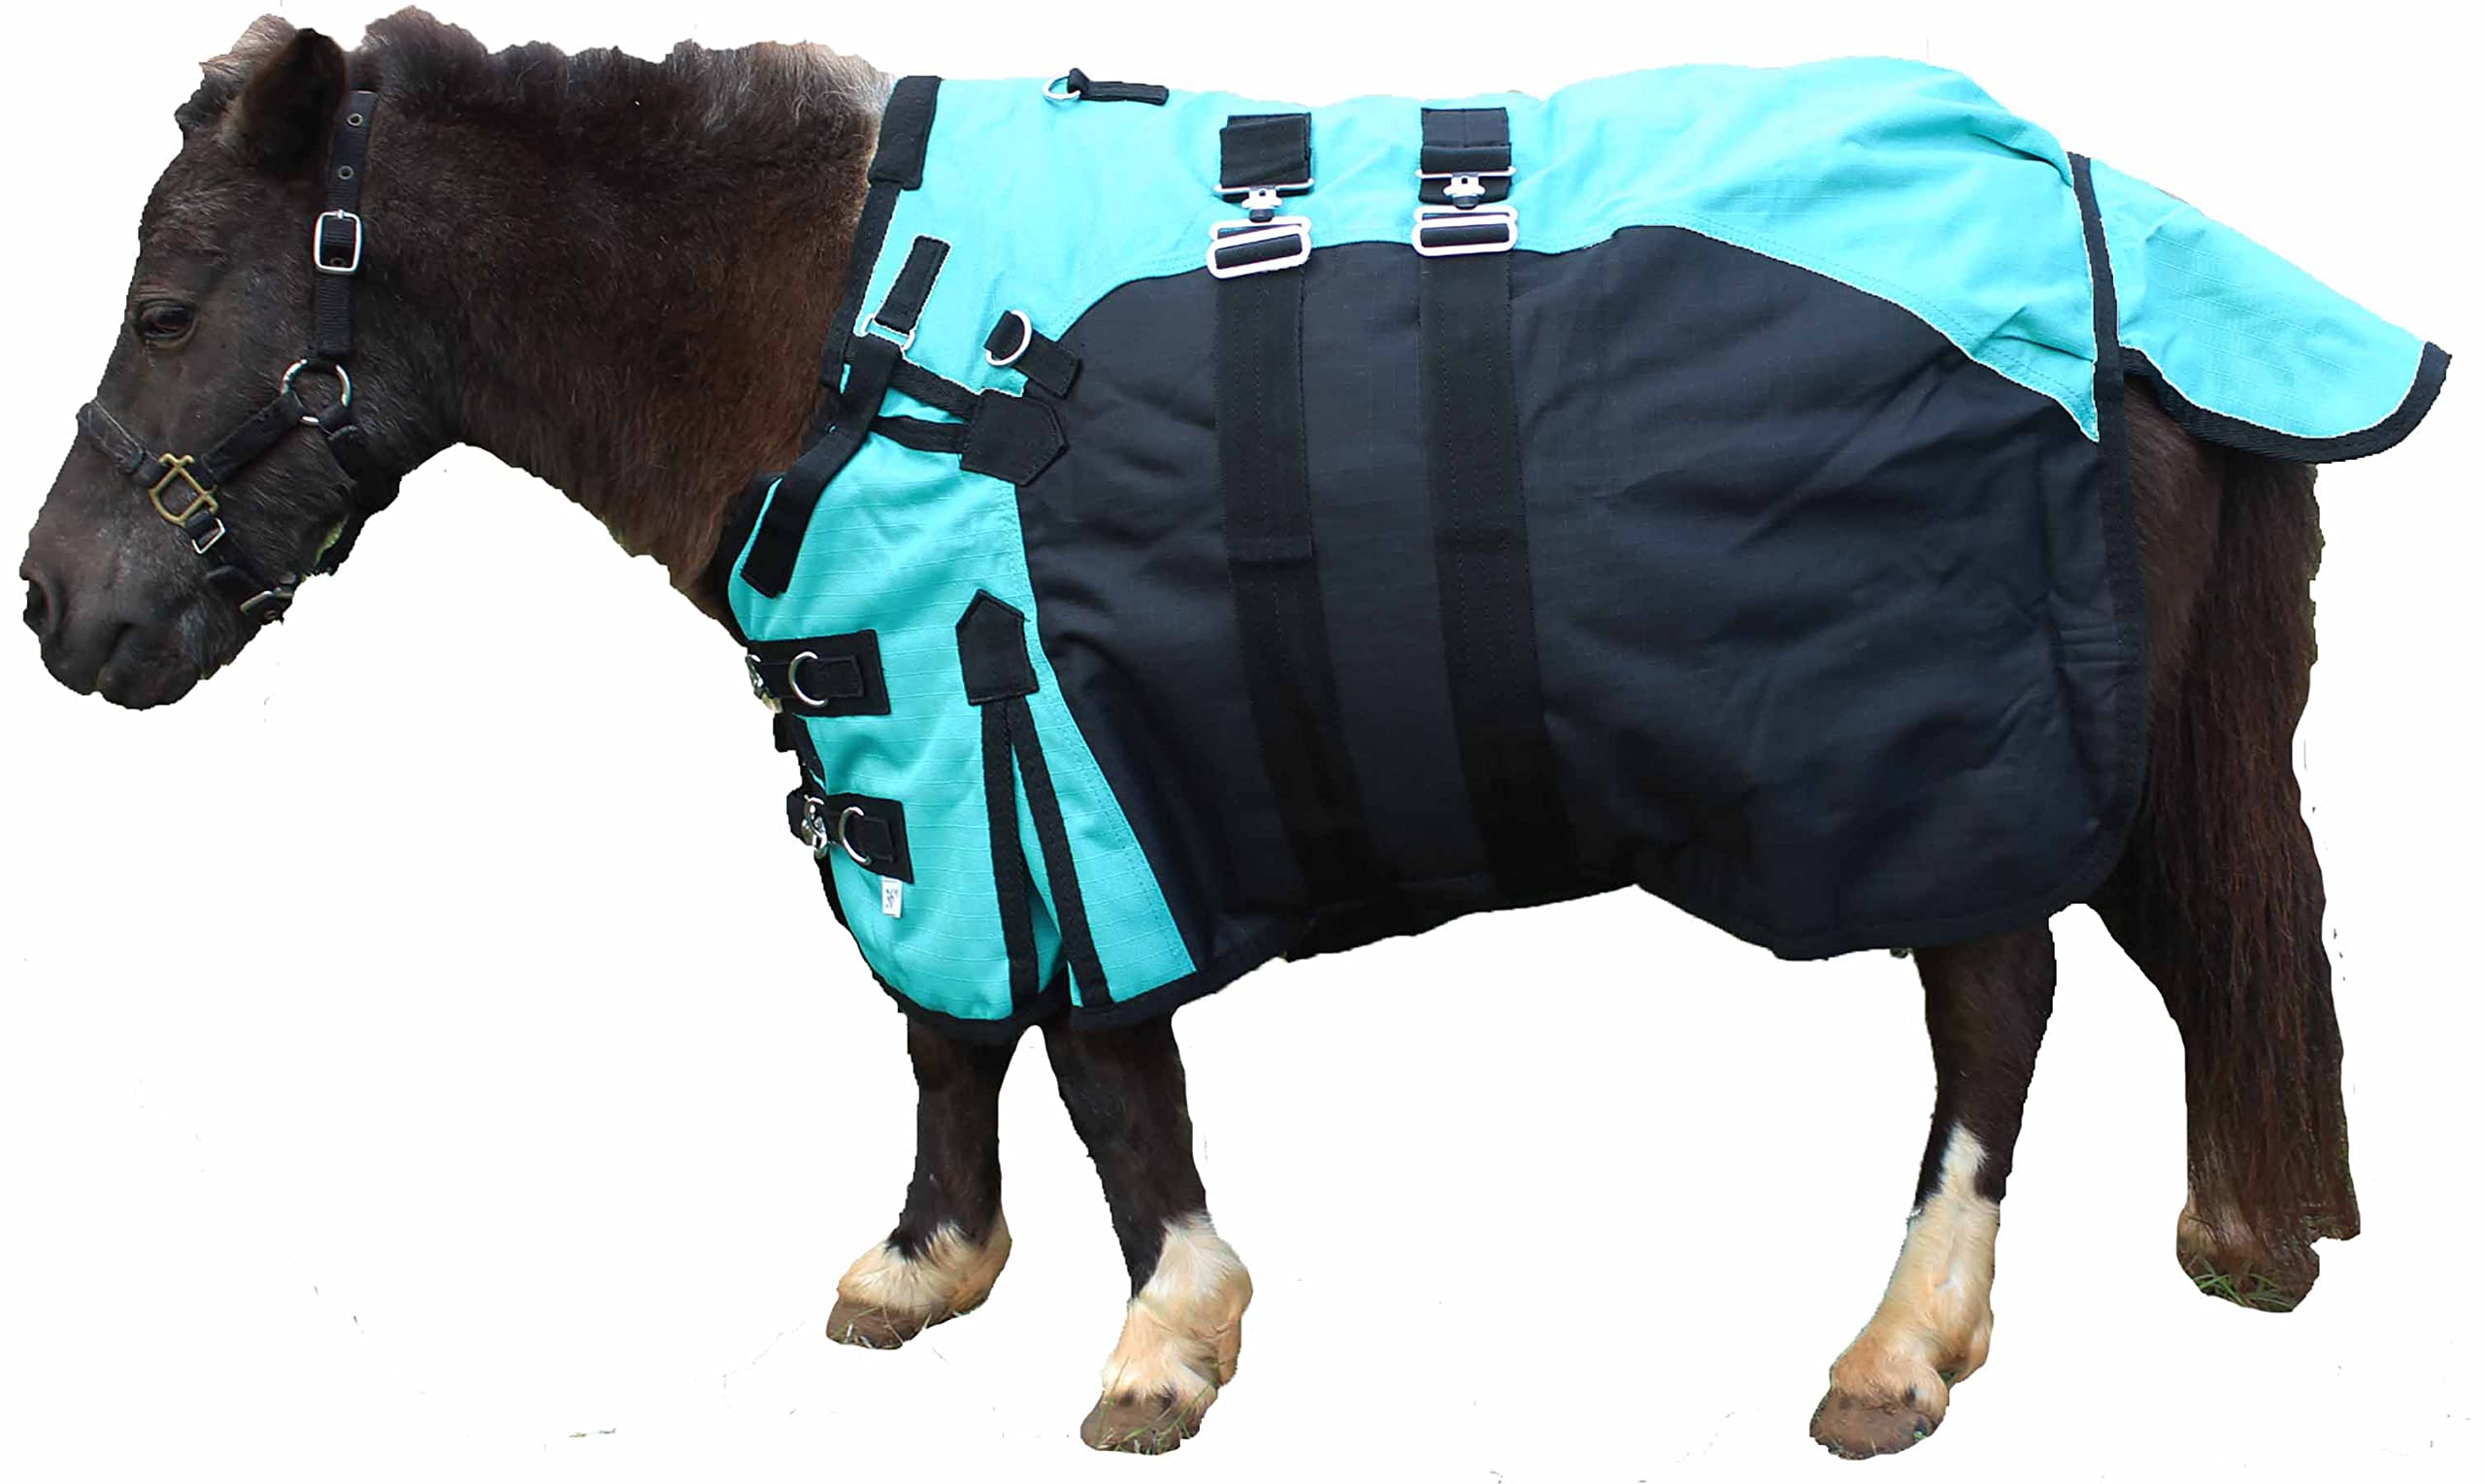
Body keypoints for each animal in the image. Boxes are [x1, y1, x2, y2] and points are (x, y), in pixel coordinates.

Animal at [16, 11, 2393, 1460]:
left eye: (167, 305)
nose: (59, 606)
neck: (832, 324)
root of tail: (2121, 236)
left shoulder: (1055, 728)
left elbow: (1089, 1051)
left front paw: (1167, 1327)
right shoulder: (920, 738)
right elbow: (945, 1023)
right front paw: (926, 1255)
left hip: (1927, 754)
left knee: (1995, 1001)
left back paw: (1907, 1338)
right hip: (2104, 743)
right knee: (2197, 961)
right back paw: (2238, 1236)